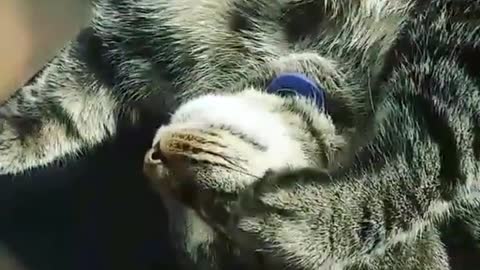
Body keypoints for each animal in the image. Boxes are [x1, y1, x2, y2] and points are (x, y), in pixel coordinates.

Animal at [2, 0, 480, 268]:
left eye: (213, 210)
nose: (152, 160)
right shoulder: (116, 46)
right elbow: (37, 114)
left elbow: (433, 153)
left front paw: (314, 224)